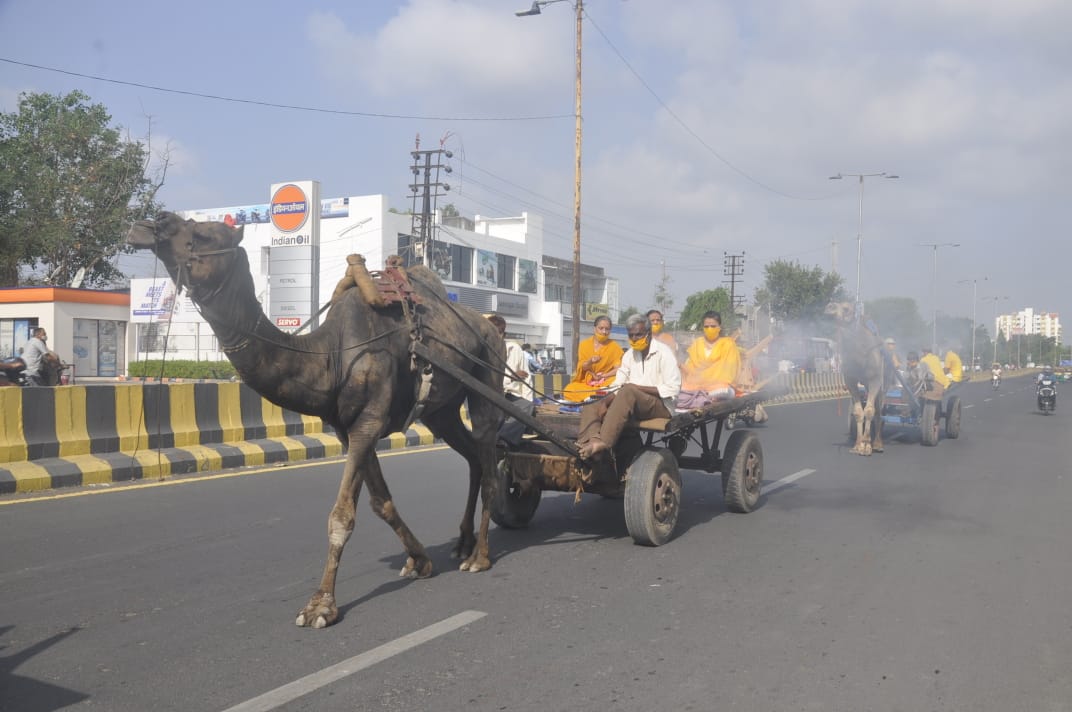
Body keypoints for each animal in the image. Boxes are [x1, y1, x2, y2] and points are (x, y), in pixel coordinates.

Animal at [126, 211, 505, 630]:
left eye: (204, 233)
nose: (153, 222)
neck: (330, 356)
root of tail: (492, 325)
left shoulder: (369, 421)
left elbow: (341, 516)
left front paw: (320, 606)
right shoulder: (348, 428)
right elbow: (381, 503)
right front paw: (419, 561)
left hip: (489, 372)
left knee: (489, 455)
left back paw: (480, 556)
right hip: (442, 411)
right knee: (472, 456)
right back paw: (462, 543)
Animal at [823, 300, 883, 456]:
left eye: (846, 309)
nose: (829, 307)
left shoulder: (875, 380)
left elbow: (869, 410)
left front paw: (867, 445)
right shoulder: (850, 380)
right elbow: (857, 412)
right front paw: (858, 445)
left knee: (879, 408)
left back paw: (878, 444)